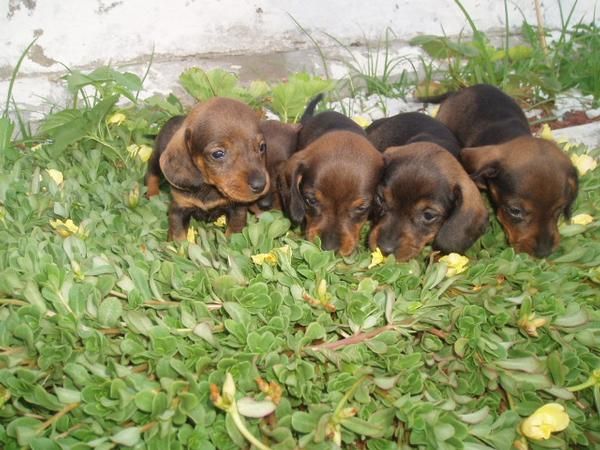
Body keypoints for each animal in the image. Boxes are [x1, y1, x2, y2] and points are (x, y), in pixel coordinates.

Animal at [144, 97, 268, 241]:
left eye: (262, 147)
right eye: (218, 154)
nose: (260, 185)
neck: (208, 187)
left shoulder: (238, 209)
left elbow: (233, 233)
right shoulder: (179, 208)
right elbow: (178, 237)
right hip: (156, 157)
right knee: (151, 175)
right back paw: (152, 194)